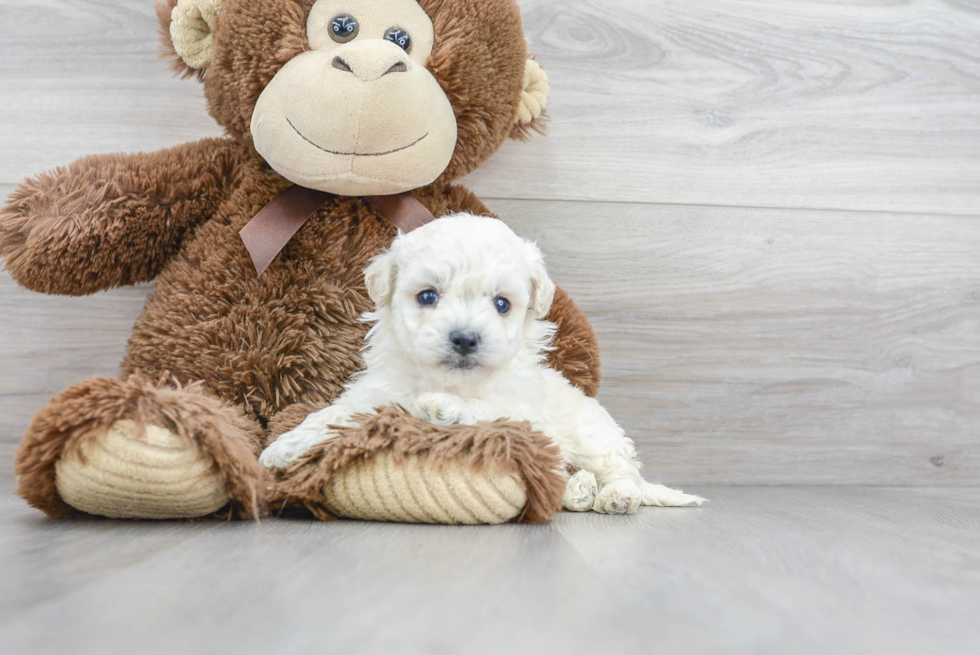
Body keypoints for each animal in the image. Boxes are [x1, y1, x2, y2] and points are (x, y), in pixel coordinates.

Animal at [260, 214, 704, 512]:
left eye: (502, 304)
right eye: (427, 296)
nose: (464, 338)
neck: (446, 379)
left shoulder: (526, 418)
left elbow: (486, 410)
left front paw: (443, 407)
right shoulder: (377, 394)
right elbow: (337, 415)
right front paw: (286, 446)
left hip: (594, 437)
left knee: (623, 471)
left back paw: (615, 495)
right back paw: (579, 491)